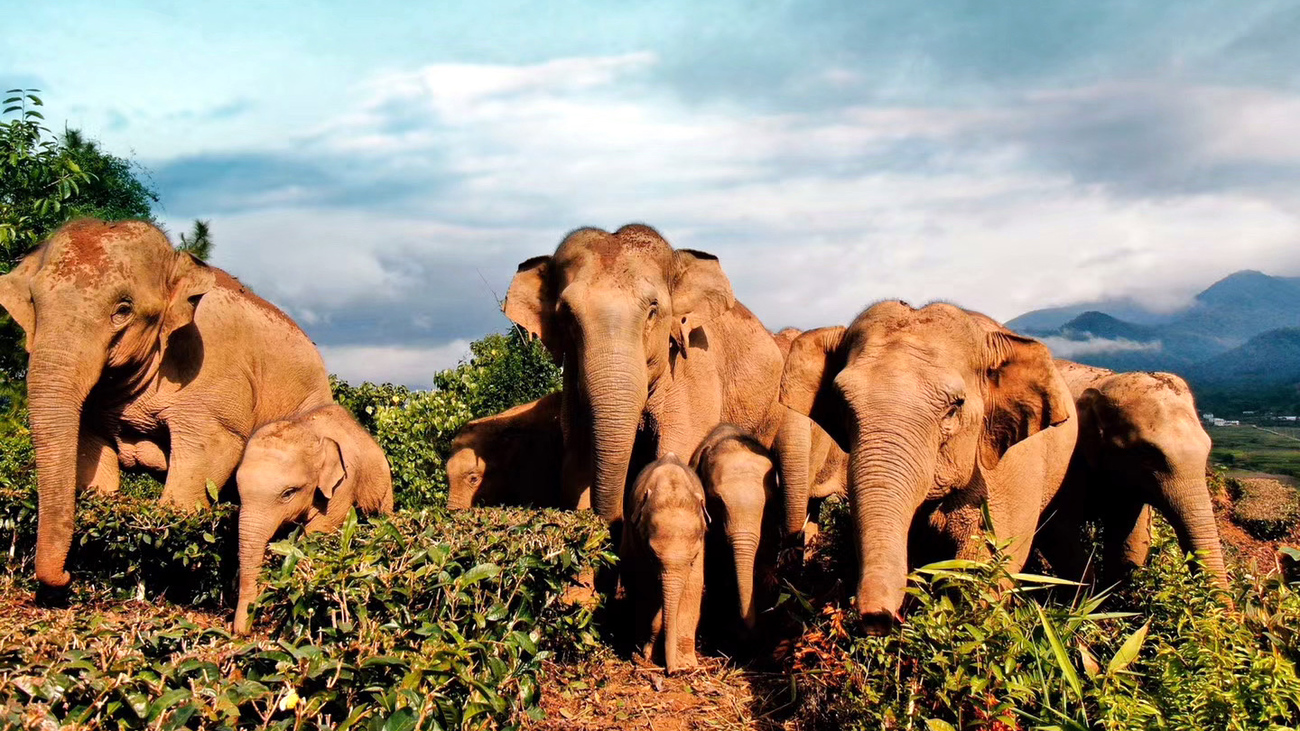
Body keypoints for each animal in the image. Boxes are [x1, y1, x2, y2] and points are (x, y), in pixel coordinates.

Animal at [0, 219, 333, 589]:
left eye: (123, 309)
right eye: (34, 302)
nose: (64, 575)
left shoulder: (212, 370)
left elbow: (211, 449)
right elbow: (90, 452)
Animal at [233, 403, 393, 635]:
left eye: (288, 493)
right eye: (239, 493)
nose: (241, 632)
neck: (309, 430)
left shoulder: (344, 483)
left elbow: (325, 524)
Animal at [503, 224, 816, 535]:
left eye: (653, 309)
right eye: (566, 314)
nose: (614, 522)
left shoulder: (692, 370)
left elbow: (674, 454)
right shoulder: (572, 380)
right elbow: (575, 464)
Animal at [621, 454, 708, 674]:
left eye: (694, 557)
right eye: (653, 555)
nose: (672, 671)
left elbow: (693, 584)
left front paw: (686, 663)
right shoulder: (638, 539)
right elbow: (648, 586)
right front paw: (649, 655)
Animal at [1036, 361, 1227, 593]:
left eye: (1208, 446)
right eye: (1147, 453)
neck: (1103, 382)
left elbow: (1130, 544)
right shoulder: (1061, 459)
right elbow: (1055, 529)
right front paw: (1087, 599)